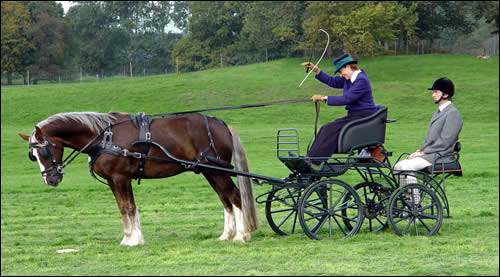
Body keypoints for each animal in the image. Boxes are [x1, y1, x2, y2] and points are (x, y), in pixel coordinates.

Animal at [20, 111, 258, 245]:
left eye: (44, 152)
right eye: (33, 156)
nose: (50, 180)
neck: (104, 136)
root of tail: (221, 124)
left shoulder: (121, 178)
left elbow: (129, 207)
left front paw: (134, 239)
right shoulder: (112, 181)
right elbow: (122, 208)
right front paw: (127, 238)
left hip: (218, 170)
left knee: (235, 197)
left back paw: (242, 235)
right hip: (210, 172)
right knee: (225, 200)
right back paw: (227, 234)